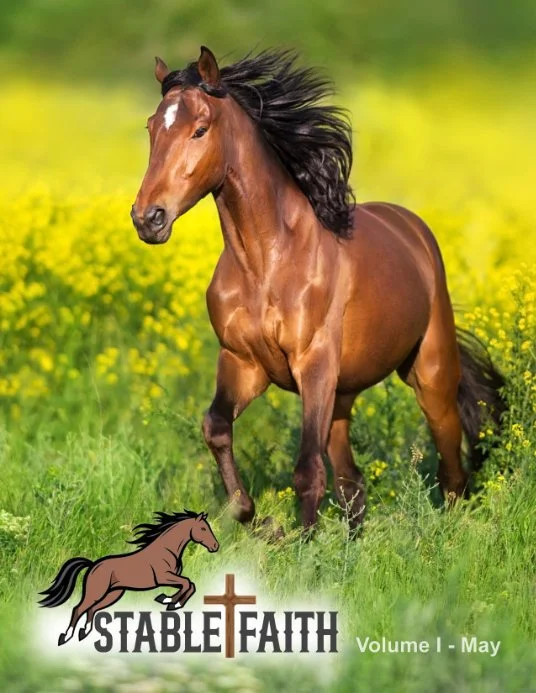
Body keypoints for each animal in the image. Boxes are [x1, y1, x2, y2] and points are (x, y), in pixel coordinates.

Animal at [39, 510, 219, 645]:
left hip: (114, 594)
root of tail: (92, 565)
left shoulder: (171, 578)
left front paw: (169, 601)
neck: (166, 550)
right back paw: (65, 637)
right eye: (203, 528)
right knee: (79, 608)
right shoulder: (163, 578)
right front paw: (169, 601)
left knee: (92, 609)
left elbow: (190, 585)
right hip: (96, 592)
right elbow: (187, 583)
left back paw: (84, 633)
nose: (215, 546)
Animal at [131, 47, 505, 533]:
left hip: (430, 376)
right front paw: (254, 519)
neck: (265, 264)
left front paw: (301, 543)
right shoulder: (243, 363)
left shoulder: (313, 365)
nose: (148, 218)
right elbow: (215, 427)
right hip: (342, 395)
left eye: (200, 128)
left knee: (451, 468)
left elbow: (307, 469)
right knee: (353, 483)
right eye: (151, 127)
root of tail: (413, 230)